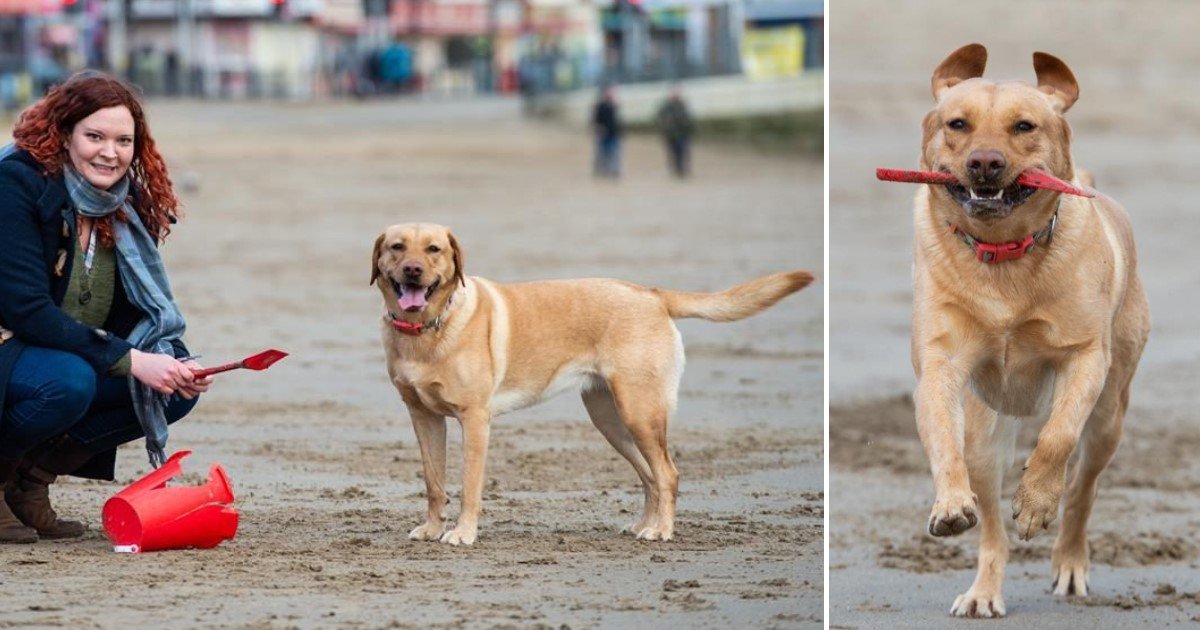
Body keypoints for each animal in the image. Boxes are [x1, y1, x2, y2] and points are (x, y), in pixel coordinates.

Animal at [369, 222, 811, 544]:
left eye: (434, 250)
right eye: (397, 247)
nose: (412, 270)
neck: (426, 330)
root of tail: (653, 295)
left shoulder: (475, 419)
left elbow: (468, 484)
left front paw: (462, 533)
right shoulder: (423, 416)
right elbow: (433, 480)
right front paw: (431, 528)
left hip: (640, 412)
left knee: (668, 473)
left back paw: (661, 531)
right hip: (611, 420)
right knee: (650, 475)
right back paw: (644, 525)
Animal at [907, 44, 1152, 614]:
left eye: (1024, 125)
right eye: (957, 123)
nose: (985, 162)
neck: (1003, 255)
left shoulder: (1085, 357)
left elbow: (1058, 437)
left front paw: (1037, 501)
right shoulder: (940, 363)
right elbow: (942, 440)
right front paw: (949, 504)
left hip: (1110, 415)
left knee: (1082, 488)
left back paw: (1069, 562)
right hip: (985, 435)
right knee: (992, 527)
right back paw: (983, 590)